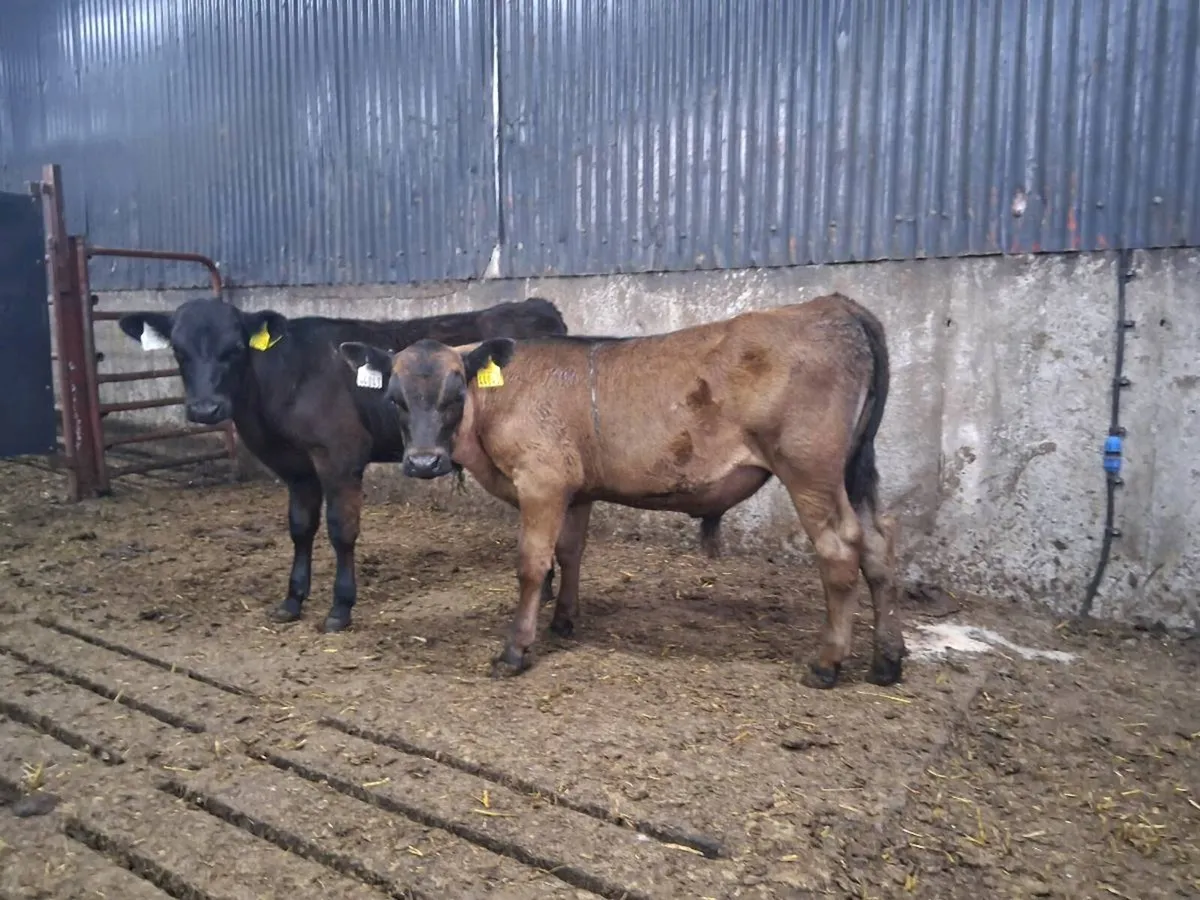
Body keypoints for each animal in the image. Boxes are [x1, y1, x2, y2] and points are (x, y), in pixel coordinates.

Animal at [117, 296, 569, 633]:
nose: (205, 408)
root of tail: (538, 306)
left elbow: (341, 530)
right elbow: (300, 527)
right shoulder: (295, 466)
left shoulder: (339, 456)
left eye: (235, 348)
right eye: (178, 350)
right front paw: (292, 600)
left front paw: (339, 607)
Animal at [338, 292, 905, 690]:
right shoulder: (577, 489)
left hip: (809, 469)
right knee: (878, 545)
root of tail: (834, 305)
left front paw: (515, 650)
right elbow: (571, 552)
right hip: (854, 469)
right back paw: (887, 659)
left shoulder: (541, 482)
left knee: (840, 550)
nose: (423, 462)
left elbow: (532, 563)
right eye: (394, 398)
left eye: (456, 392)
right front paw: (565, 621)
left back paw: (827, 663)